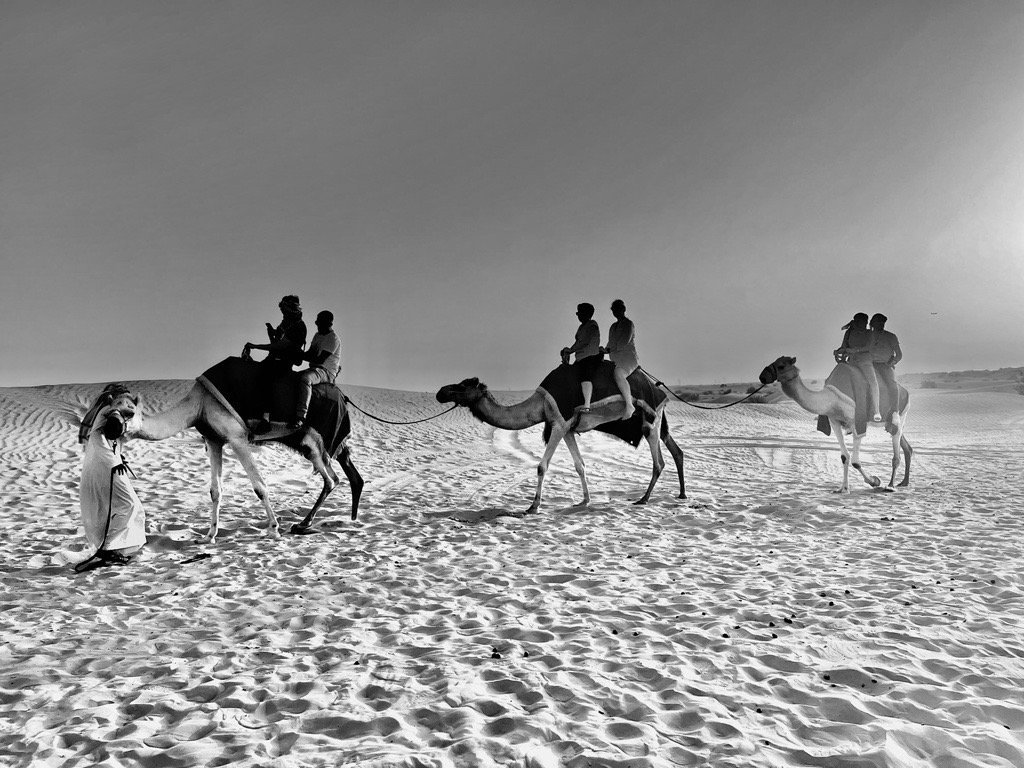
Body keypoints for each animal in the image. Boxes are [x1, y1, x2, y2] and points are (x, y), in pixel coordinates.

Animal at [115, 364, 362, 540]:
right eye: (110, 408)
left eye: (128, 412)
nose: (112, 428)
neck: (199, 404)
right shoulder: (214, 440)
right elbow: (215, 491)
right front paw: (209, 536)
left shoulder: (237, 438)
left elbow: (259, 487)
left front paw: (274, 529)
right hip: (311, 442)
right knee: (338, 474)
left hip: (316, 439)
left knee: (331, 478)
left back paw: (305, 523)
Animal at [434, 362, 688, 518]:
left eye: (462, 385)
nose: (440, 392)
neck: (540, 405)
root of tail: (660, 391)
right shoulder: (568, 429)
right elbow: (579, 465)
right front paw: (584, 501)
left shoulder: (559, 422)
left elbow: (542, 466)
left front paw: (533, 506)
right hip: (657, 419)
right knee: (676, 451)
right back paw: (681, 494)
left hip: (650, 418)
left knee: (658, 460)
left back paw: (643, 499)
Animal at [761, 356, 913, 493]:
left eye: (781, 366)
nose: (762, 377)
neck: (831, 399)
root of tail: (906, 391)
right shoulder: (834, 422)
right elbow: (844, 457)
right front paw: (843, 489)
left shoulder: (856, 422)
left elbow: (855, 461)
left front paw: (875, 481)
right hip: (891, 422)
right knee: (906, 446)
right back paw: (904, 482)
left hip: (901, 414)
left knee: (896, 445)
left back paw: (891, 486)